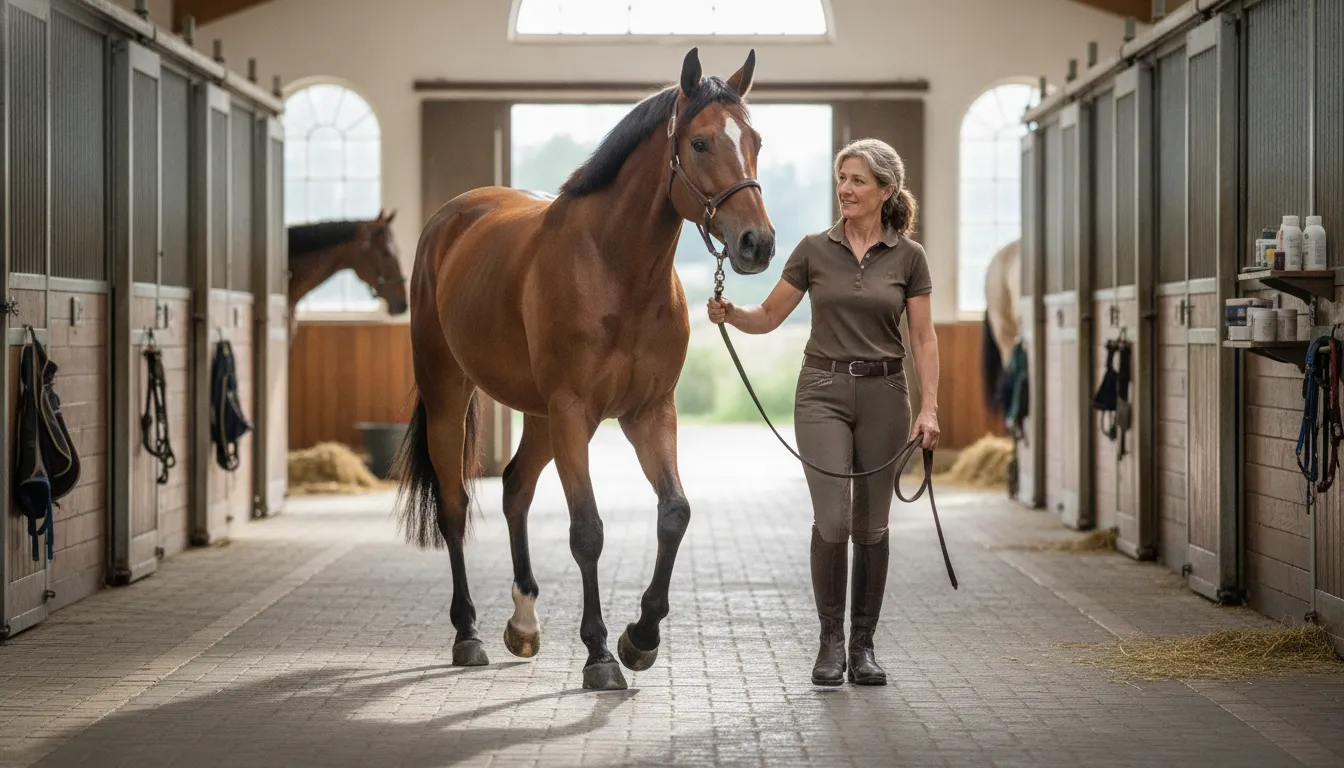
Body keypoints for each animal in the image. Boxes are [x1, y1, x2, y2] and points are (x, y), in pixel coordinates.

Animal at [392, 48, 775, 692]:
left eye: (756, 140)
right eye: (699, 143)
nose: (758, 244)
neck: (615, 267)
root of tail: (452, 218)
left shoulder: (649, 412)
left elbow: (674, 513)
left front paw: (640, 638)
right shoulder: (575, 410)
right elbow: (588, 530)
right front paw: (599, 652)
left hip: (541, 416)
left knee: (515, 486)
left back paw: (523, 624)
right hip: (452, 393)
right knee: (455, 506)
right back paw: (468, 633)